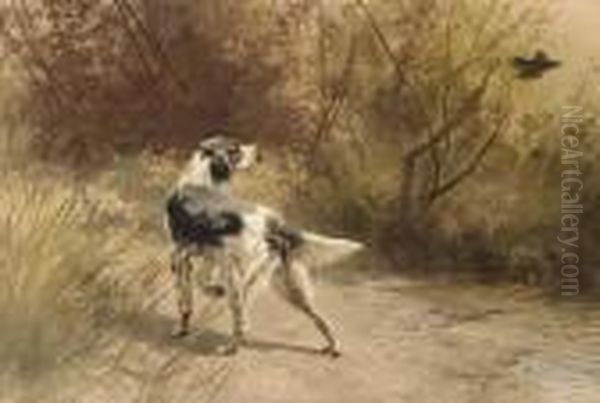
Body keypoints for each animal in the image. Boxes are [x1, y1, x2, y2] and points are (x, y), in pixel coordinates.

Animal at [164, 136, 360, 356]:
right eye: (235, 150)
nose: (259, 153)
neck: (203, 181)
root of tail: (272, 223)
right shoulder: (207, 258)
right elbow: (201, 283)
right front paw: (213, 292)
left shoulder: (181, 257)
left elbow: (186, 301)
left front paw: (182, 329)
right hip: (288, 286)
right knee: (320, 318)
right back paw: (333, 347)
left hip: (240, 280)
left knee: (241, 321)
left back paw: (230, 348)